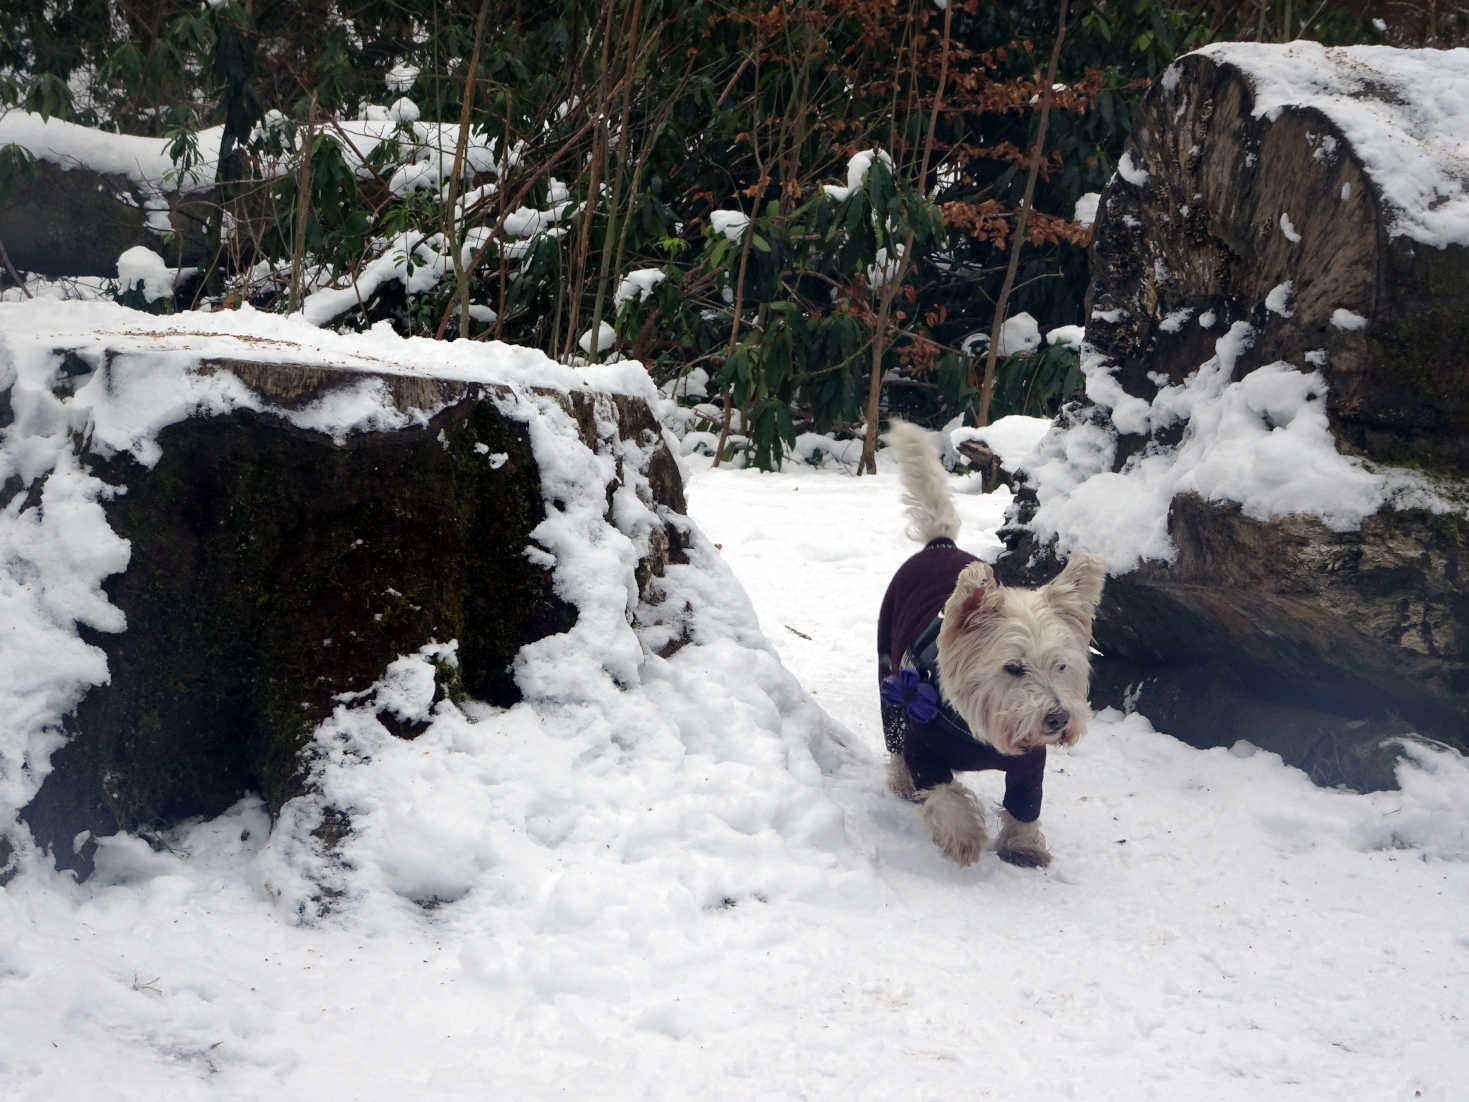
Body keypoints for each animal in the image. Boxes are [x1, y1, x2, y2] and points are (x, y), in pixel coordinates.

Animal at [869, 423, 1104, 869]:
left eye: (1060, 666)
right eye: (1013, 667)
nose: (1058, 719)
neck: (978, 732)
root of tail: (939, 545)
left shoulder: (1031, 762)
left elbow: (1026, 803)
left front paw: (1024, 847)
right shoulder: (925, 746)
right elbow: (944, 793)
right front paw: (962, 837)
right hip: (889, 675)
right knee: (894, 737)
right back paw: (901, 781)